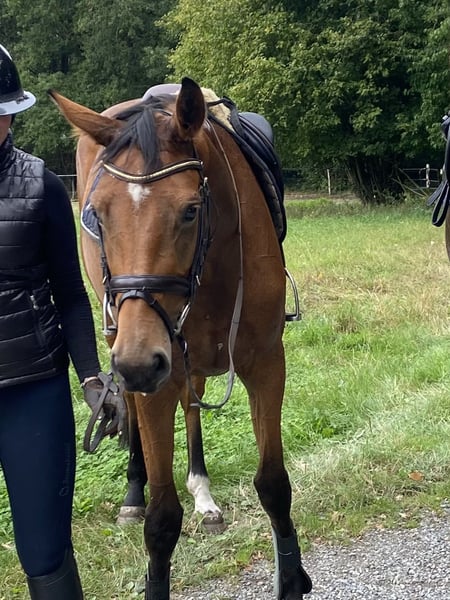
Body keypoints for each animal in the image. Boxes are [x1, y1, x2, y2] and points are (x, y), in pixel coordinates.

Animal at [49, 77, 312, 600]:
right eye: (96, 215)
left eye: (190, 211)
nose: (136, 362)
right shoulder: (154, 375)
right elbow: (161, 519)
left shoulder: (265, 364)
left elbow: (274, 485)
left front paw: (291, 578)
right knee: (132, 410)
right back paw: (133, 492)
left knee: (192, 407)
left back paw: (203, 492)